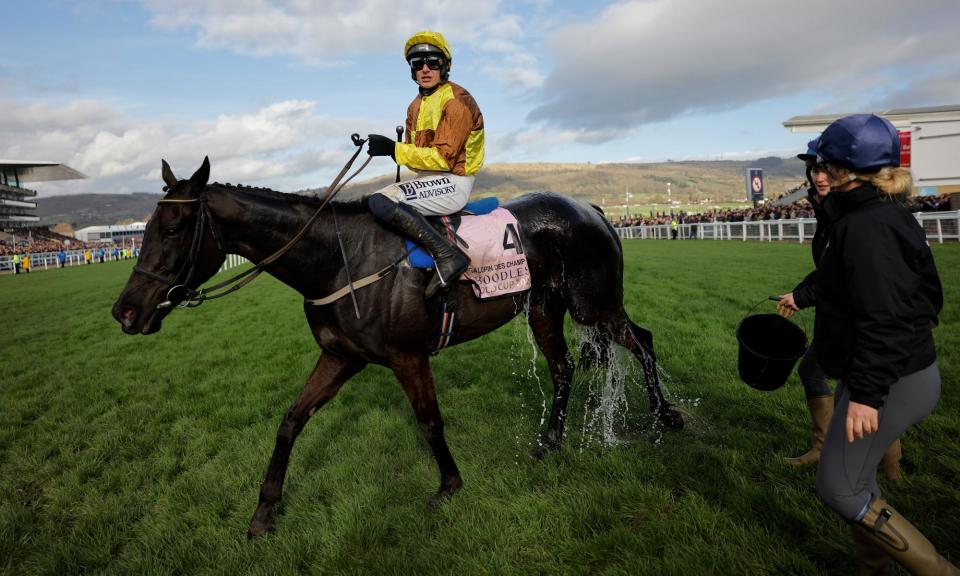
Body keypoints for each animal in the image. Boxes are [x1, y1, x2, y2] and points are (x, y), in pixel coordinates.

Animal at [112, 155, 684, 536]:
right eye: (144, 228)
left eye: (173, 228)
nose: (125, 311)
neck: (339, 258)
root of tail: (592, 208)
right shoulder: (341, 357)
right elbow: (291, 421)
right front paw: (264, 512)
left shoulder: (408, 357)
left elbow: (429, 421)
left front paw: (449, 485)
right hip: (544, 307)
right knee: (564, 366)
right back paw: (551, 440)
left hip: (595, 305)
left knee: (643, 342)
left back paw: (667, 416)